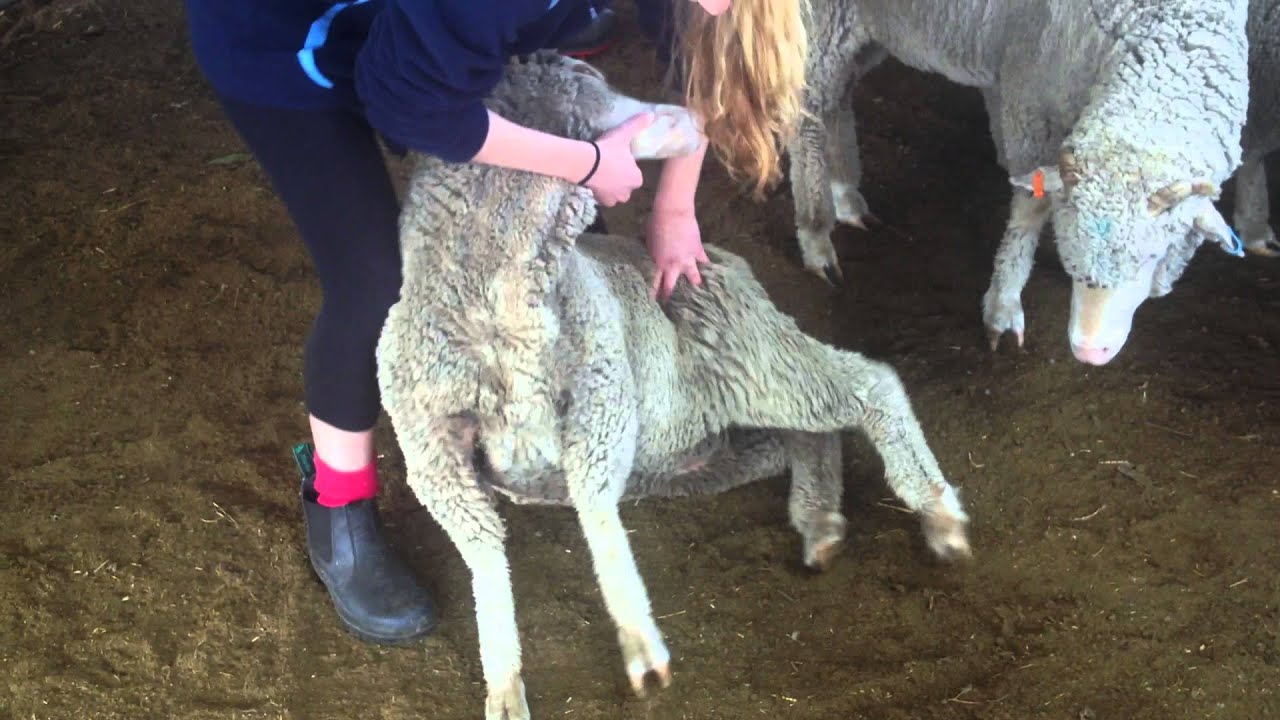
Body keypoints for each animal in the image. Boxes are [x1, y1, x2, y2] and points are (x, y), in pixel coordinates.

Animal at [376, 51, 972, 720]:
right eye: (612, 99)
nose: (692, 118)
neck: (492, 318)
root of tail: (723, 258)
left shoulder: (603, 398)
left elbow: (597, 514)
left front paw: (640, 643)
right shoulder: (434, 459)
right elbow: (483, 558)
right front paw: (504, 683)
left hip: (752, 357)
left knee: (871, 385)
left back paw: (938, 513)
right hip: (712, 439)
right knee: (807, 434)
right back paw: (819, 520)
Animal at [786, 0, 1253, 365]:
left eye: (1152, 256)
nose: (1088, 351)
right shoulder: (1029, 99)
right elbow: (1030, 207)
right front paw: (1004, 303)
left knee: (838, 97)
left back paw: (844, 194)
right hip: (819, 22)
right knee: (806, 115)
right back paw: (816, 234)